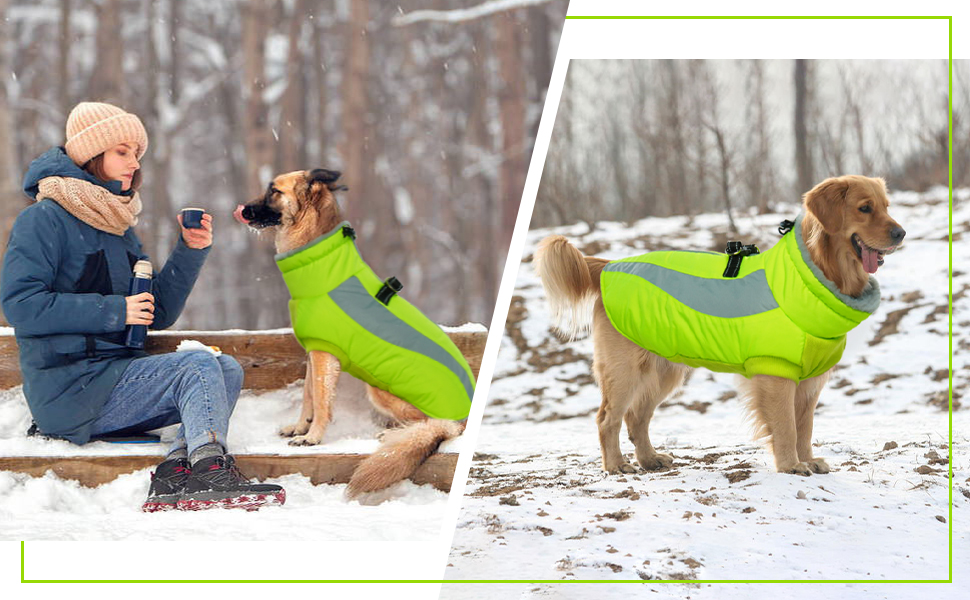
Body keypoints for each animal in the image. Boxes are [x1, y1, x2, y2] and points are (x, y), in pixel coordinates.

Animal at [231, 168, 466, 496]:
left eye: (273, 191)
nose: (242, 210)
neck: (321, 263)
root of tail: (461, 418)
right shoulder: (313, 354)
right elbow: (308, 396)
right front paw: (300, 427)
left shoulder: (324, 357)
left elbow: (321, 401)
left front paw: (313, 437)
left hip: (379, 390)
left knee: (427, 425)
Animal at [532, 176, 904, 476]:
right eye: (865, 208)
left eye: (887, 207)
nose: (901, 233)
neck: (814, 276)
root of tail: (609, 265)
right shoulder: (776, 373)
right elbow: (786, 426)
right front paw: (790, 465)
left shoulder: (809, 378)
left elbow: (805, 426)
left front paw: (808, 459)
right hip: (625, 370)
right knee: (607, 418)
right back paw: (615, 465)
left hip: (665, 369)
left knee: (636, 417)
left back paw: (649, 459)